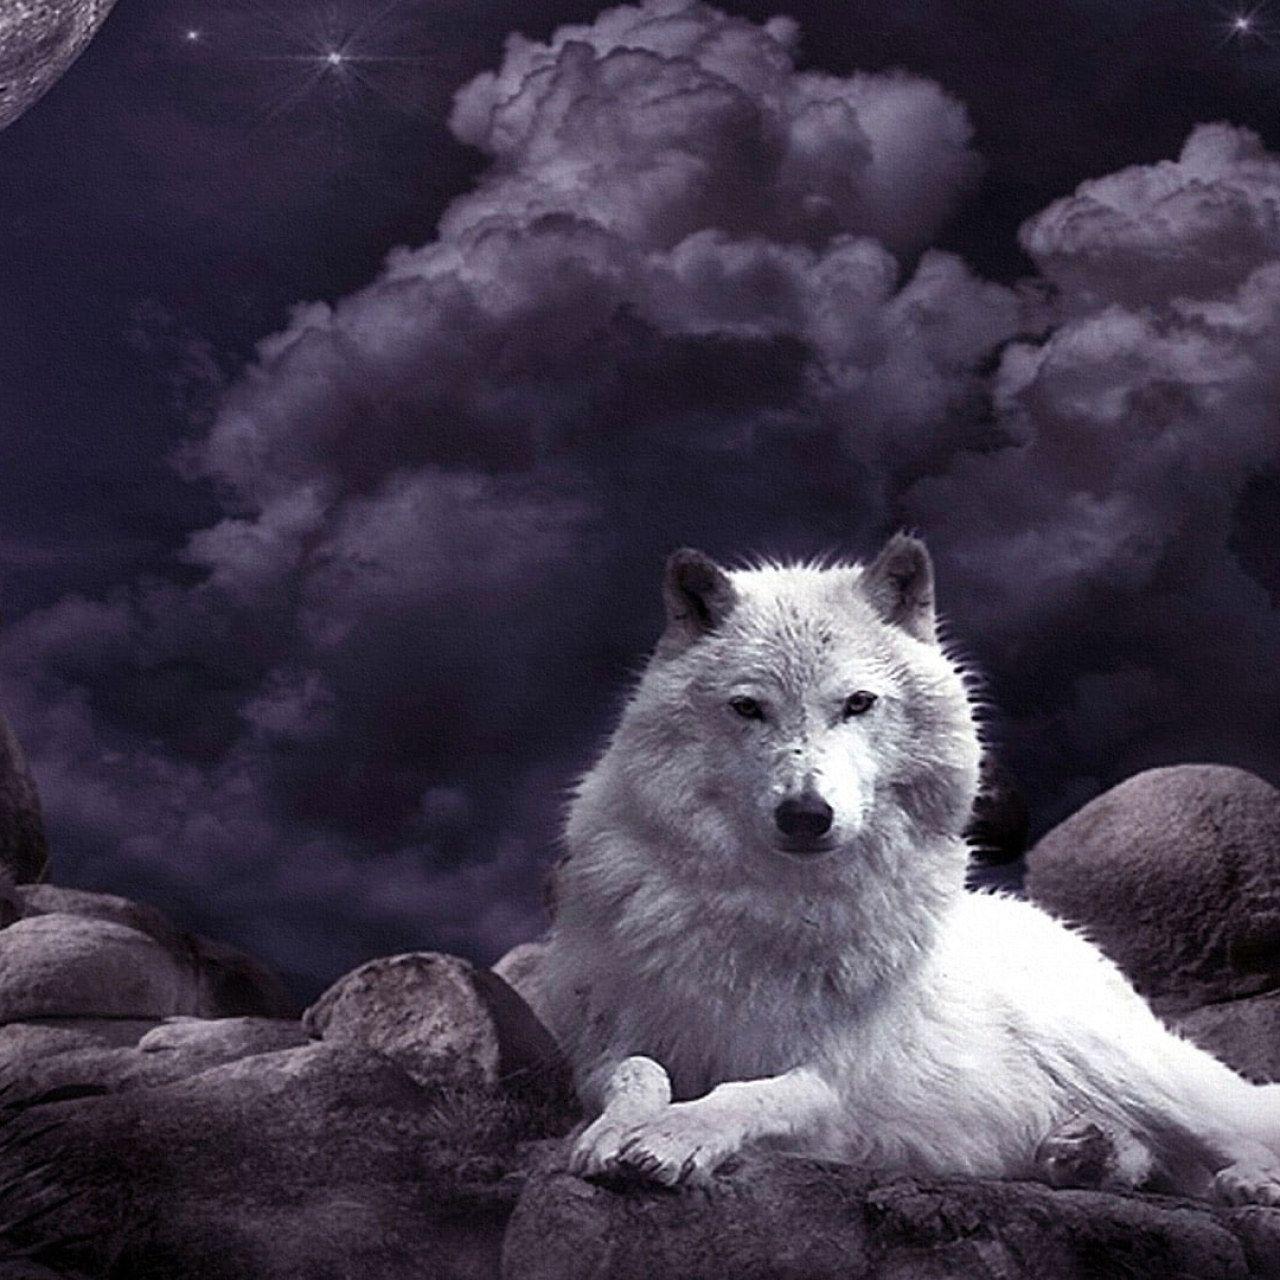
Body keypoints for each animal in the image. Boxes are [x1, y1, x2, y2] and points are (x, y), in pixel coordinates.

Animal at [537, 533, 1280, 1204]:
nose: (805, 814)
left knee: (1231, 1129)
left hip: (1118, 1060)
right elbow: (638, 1073)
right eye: (748, 707)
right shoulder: (603, 1046)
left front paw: (674, 1137)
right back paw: (1082, 1153)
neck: (776, 910)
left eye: (858, 703)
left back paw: (1247, 1180)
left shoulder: (839, 1083)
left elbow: (752, 1092)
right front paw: (614, 1132)